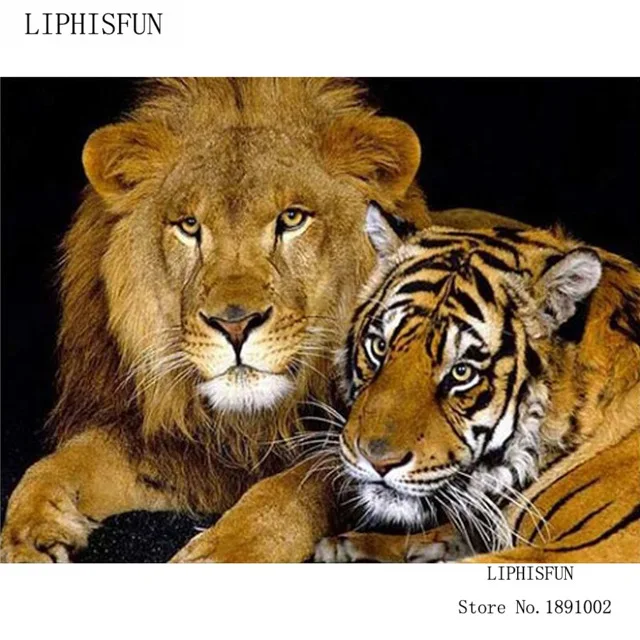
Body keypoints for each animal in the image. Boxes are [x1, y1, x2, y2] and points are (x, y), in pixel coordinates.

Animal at [1, 78, 521, 562]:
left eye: (292, 218)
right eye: (190, 226)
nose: (234, 325)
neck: (252, 423)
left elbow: (293, 488)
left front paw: (225, 551)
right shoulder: (184, 448)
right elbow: (62, 463)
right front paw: (29, 535)